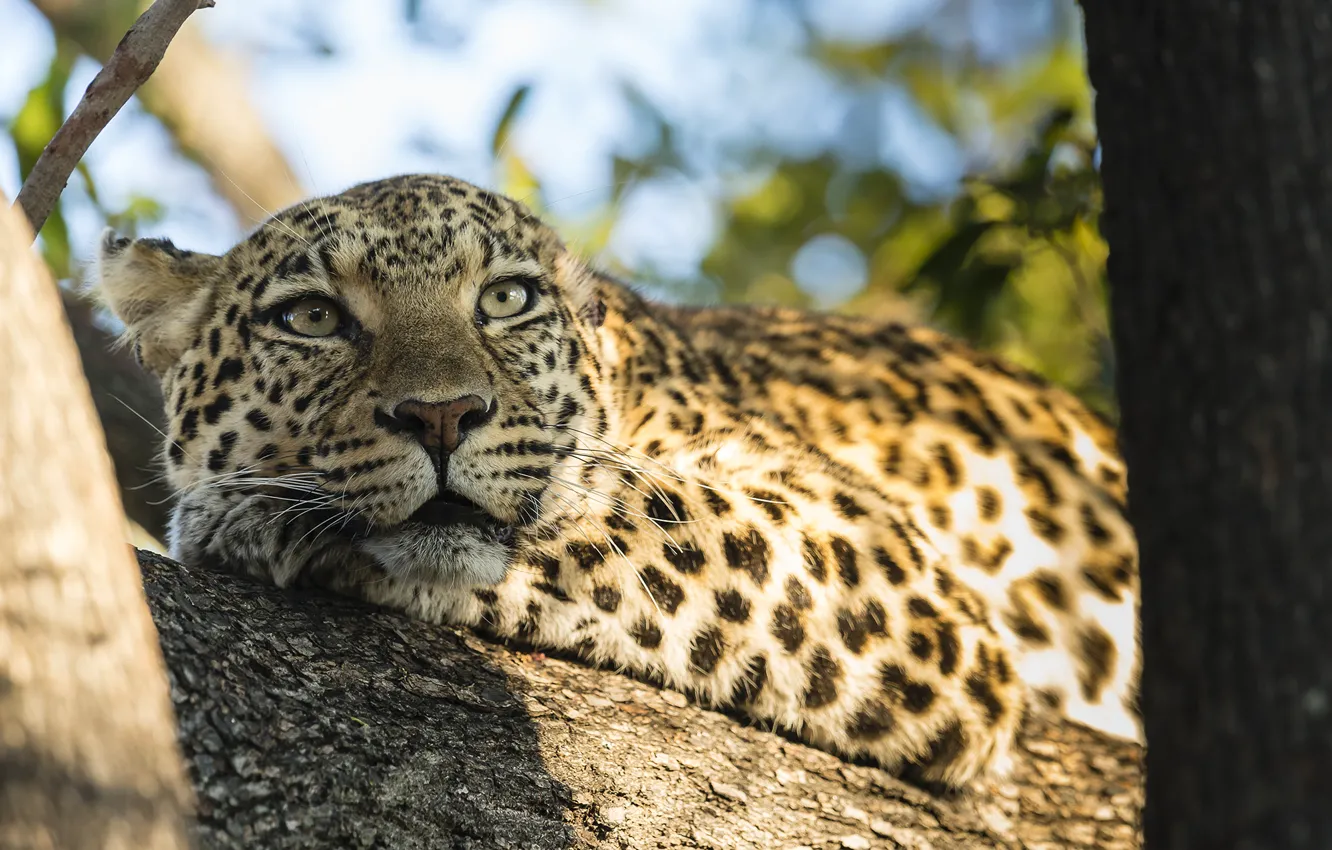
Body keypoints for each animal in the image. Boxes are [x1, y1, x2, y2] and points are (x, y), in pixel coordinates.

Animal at [96, 173, 1139, 790]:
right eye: (311, 318)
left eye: (506, 299)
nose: (442, 415)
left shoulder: (888, 555)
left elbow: (643, 512)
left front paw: (251, 518)